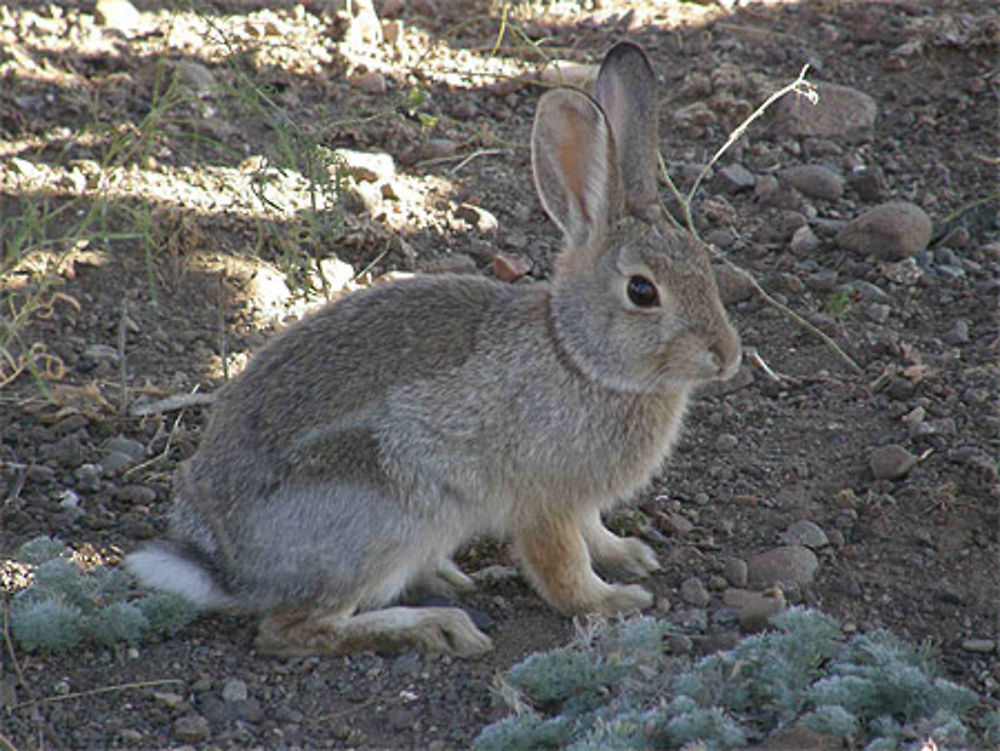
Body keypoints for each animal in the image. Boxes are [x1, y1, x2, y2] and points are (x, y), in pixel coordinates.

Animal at [127, 42, 744, 656]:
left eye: (702, 262)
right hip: (383, 516)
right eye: (642, 291)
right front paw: (611, 601)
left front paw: (630, 556)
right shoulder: (544, 498)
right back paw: (436, 625)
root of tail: (231, 569)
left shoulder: (581, 500)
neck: (577, 355)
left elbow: (595, 533)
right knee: (293, 631)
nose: (727, 356)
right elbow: (562, 565)